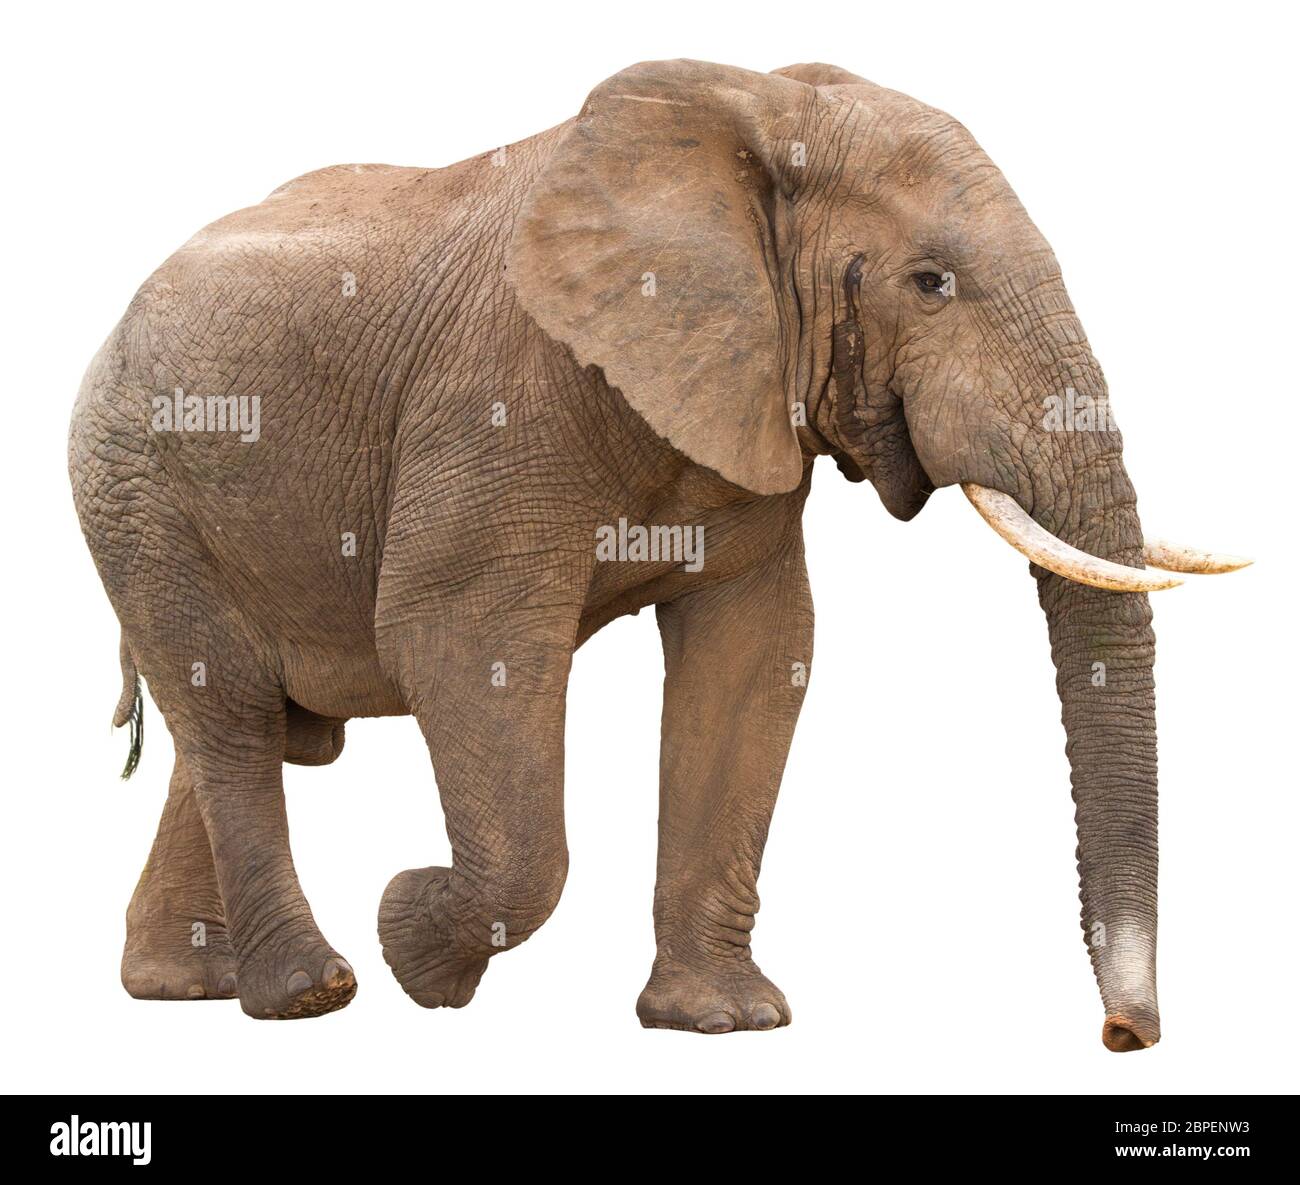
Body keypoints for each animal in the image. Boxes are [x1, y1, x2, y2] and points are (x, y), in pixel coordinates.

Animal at [68, 58, 1248, 1047]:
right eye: (931, 283)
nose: (1124, 1037)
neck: (762, 107)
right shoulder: (498, 399)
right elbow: (456, 643)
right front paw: (415, 941)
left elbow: (754, 652)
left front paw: (721, 1024)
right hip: (135, 492)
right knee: (230, 714)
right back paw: (310, 994)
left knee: (256, 731)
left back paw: (188, 987)